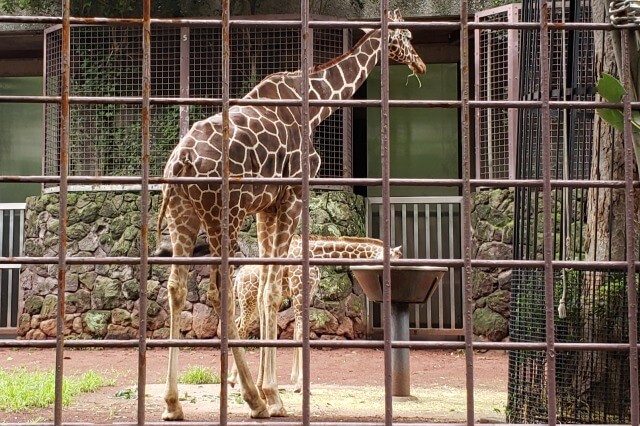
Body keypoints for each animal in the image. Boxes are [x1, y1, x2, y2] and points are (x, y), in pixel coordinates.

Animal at [228, 233, 402, 392]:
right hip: (248, 300)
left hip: (255, 304)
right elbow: (299, 333)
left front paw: (297, 381)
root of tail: (238, 277)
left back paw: (236, 379)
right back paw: (235, 379)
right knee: (242, 328)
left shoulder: (307, 293)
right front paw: (299, 383)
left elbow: (299, 332)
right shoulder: (298, 293)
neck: (314, 253)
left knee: (238, 323)